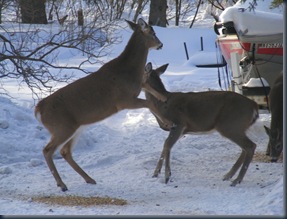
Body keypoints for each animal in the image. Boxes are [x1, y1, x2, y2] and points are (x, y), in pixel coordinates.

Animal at [34, 18, 164, 191]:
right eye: (153, 32)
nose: (161, 44)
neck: (129, 70)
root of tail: (38, 109)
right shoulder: (122, 100)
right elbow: (150, 103)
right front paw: (166, 123)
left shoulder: (135, 89)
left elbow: (149, 90)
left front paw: (163, 98)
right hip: (61, 127)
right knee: (48, 150)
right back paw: (62, 184)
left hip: (75, 128)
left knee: (65, 151)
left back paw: (89, 179)